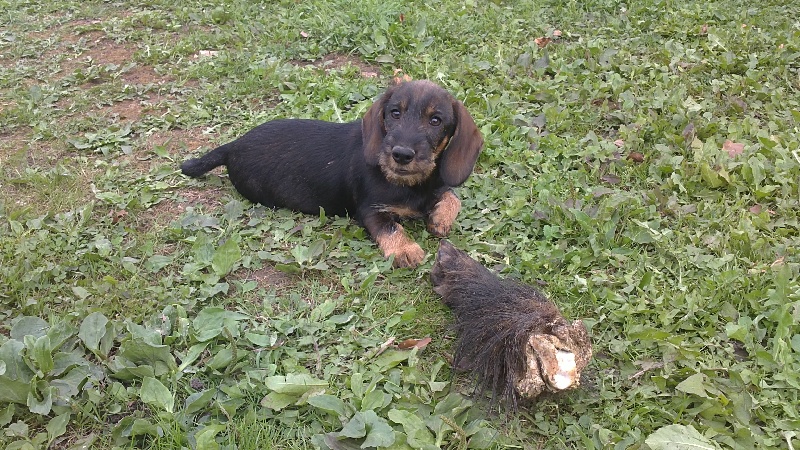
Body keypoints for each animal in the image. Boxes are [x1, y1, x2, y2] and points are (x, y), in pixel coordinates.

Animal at [181, 81, 482, 268]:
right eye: (394, 113)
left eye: (436, 120)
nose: (401, 154)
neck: (409, 185)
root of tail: (233, 145)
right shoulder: (370, 210)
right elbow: (391, 227)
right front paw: (405, 250)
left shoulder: (435, 187)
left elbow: (453, 197)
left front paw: (440, 218)